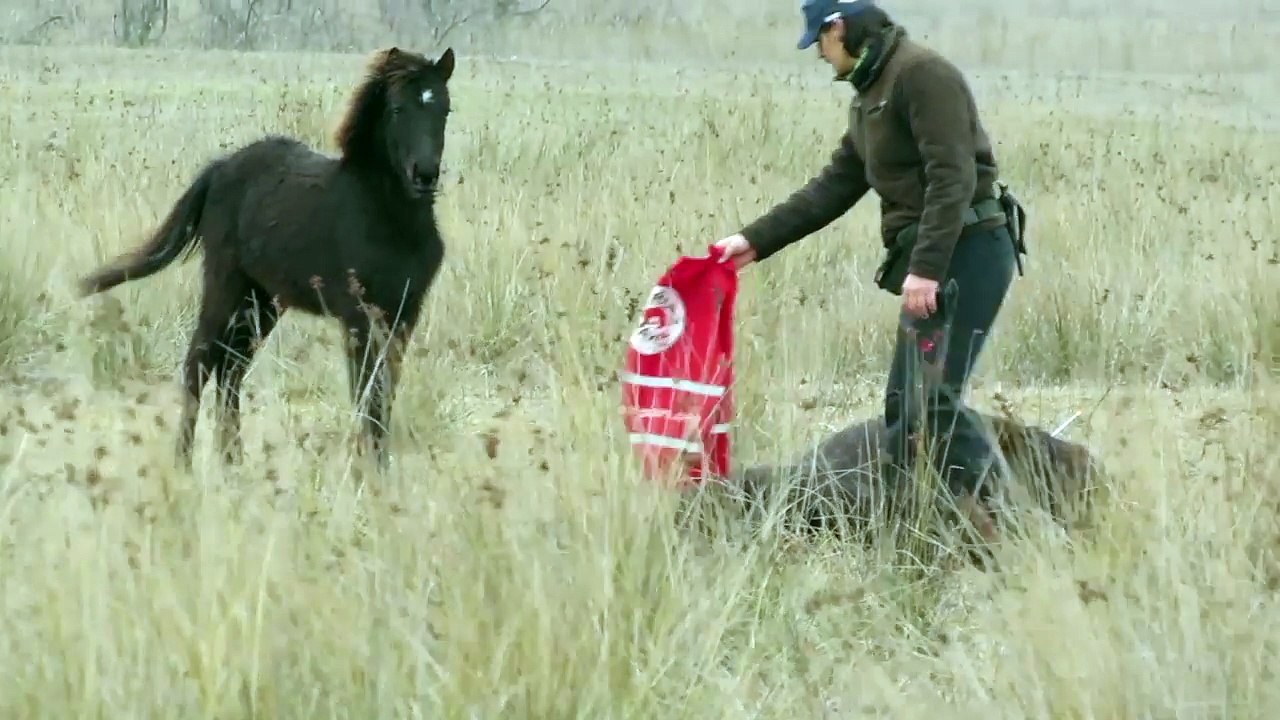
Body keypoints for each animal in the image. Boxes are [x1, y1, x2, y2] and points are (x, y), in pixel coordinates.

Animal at [76, 46, 457, 470]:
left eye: (444, 108)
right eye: (396, 108)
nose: (425, 175)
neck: (388, 218)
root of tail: (219, 169)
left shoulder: (403, 314)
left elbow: (383, 393)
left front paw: (380, 471)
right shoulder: (359, 316)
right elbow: (367, 393)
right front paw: (367, 472)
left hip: (262, 302)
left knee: (231, 370)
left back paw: (233, 462)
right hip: (226, 285)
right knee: (200, 363)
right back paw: (184, 462)